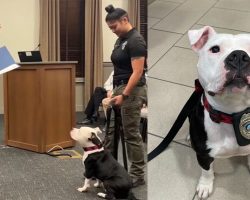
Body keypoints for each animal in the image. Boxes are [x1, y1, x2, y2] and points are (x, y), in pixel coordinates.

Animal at [188, 26, 250, 198]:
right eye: (215, 49)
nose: (239, 56)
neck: (232, 115)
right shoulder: (203, 155)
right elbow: (206, 171)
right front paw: (205, 185)